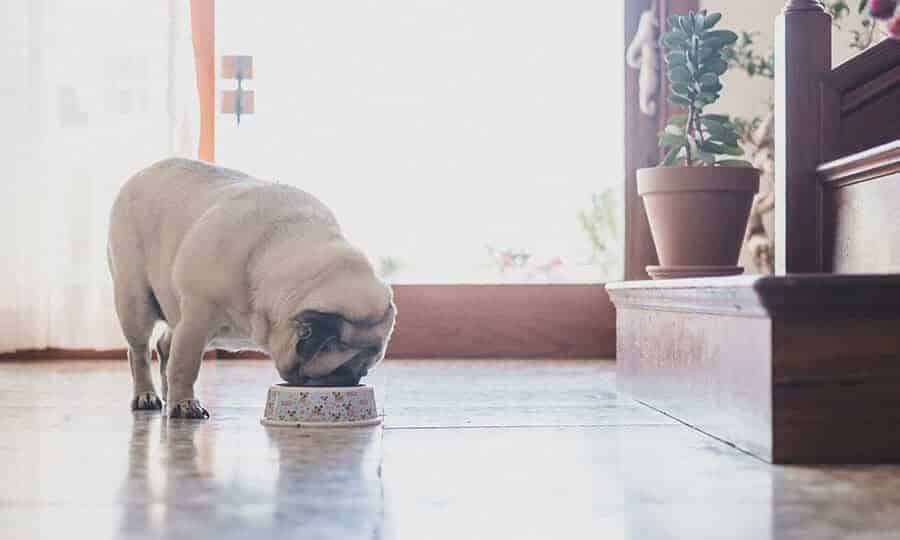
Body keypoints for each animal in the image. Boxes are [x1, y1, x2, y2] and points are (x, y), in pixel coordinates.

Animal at [107, 156, 396, 418]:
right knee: (139, 352)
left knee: (165, 345)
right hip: (135, 302)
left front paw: (179, 399)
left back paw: (167, 394)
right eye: (332, 371)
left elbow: (177, 358)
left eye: (363, 370)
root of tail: (143, 172)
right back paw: (146, 395)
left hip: (175, 312)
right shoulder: (197, 319)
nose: (350, 380)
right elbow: (185, 365)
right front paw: (185, 404)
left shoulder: (191, 323)